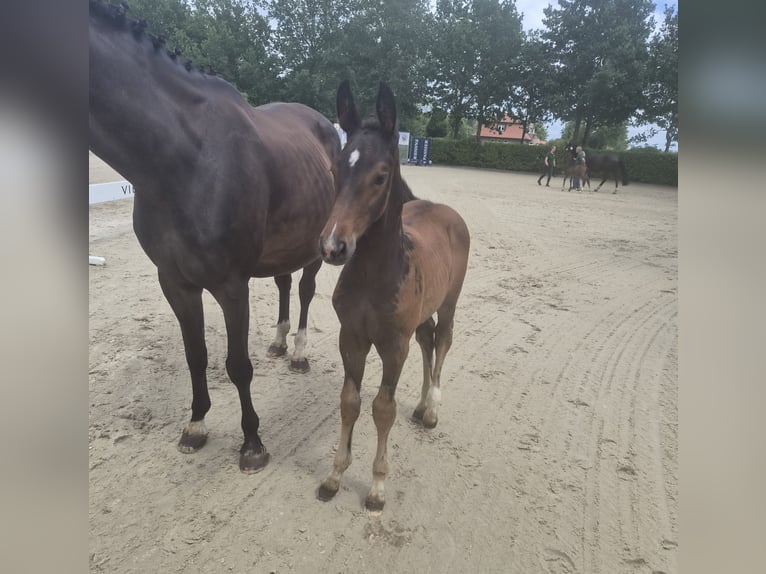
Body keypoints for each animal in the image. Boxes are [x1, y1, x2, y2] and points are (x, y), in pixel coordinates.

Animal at [89, 0, 340, 473]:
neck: (185, 161)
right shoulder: (175, 282)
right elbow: (197, 355)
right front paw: (196, 426)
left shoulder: (230, 285)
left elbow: (237, 364)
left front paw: (252, 444)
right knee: (284, 283)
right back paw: (278, 343)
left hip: (317, 244)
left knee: (305, 290)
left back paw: (298, 353)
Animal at [316, 81, 470, 511]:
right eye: (335, 169)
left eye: (381, 177)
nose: (333, 247)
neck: (373, 276)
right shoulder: (351, 337)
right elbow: (349, 402)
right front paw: (334, 476)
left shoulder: (392, 345)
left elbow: (383, 408)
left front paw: (377, 488)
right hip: (421, 314)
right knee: (428, 338)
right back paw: (419, 406)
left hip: (450, 301)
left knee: (444, 339)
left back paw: (432, 408)